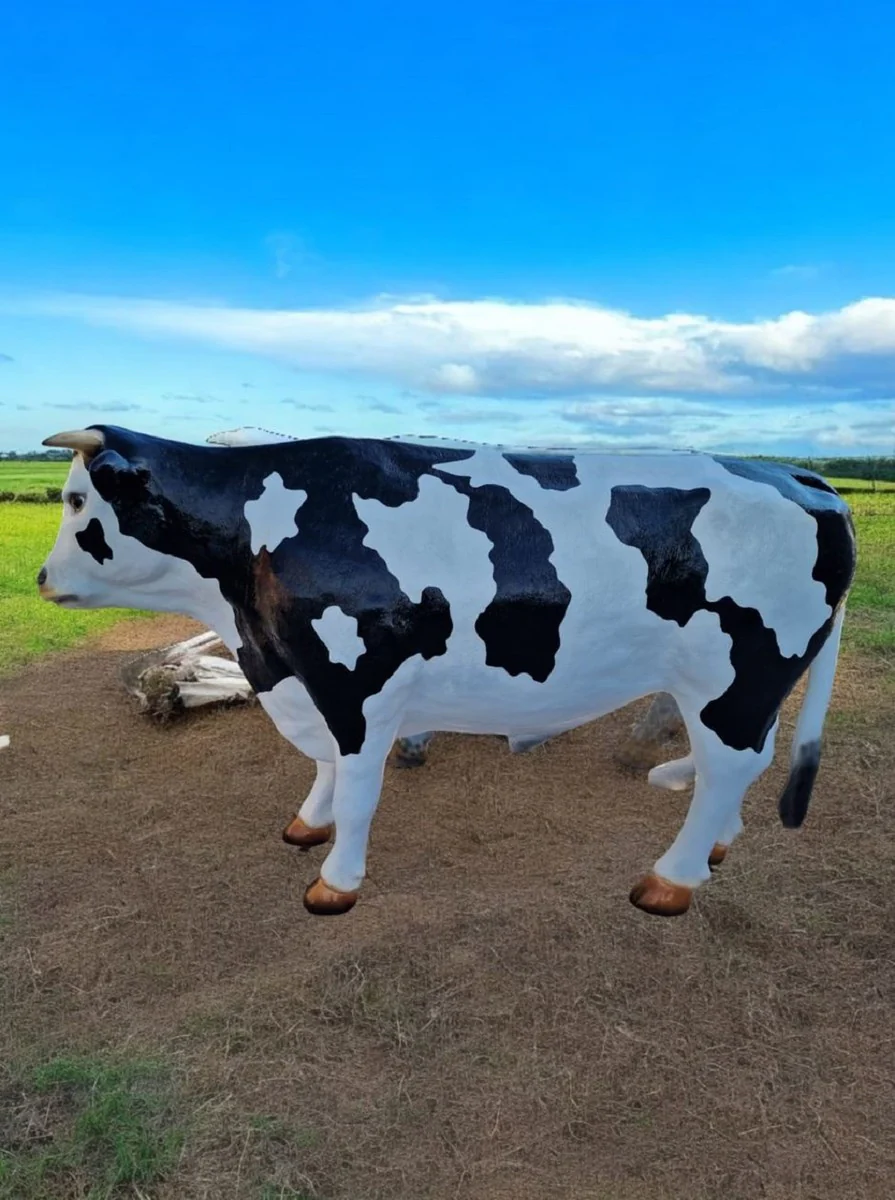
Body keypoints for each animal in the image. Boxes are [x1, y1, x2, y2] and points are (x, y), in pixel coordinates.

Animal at [38, 425, 856, 919]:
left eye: (77, 500)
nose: (42, 578)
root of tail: (798, 474)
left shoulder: (358, 685)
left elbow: (359, 788)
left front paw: (335, 881)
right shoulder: (299, 676)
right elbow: (323, 768)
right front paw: (308, 823)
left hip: (739, 675)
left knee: (730, 764)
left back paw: (671, 879)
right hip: (751, 682)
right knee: (746, 759)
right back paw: (717, 842)